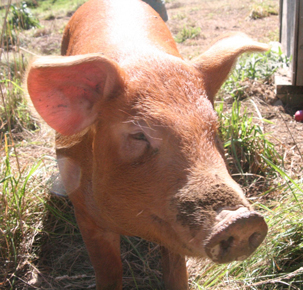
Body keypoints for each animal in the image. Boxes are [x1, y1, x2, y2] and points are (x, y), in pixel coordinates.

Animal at [25, 0, 268, 290]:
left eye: (215, 129)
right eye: (138, 135)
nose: (241, 221)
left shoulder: (169, 229)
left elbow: (176, 272)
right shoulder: (86, 215)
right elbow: (109, 271)